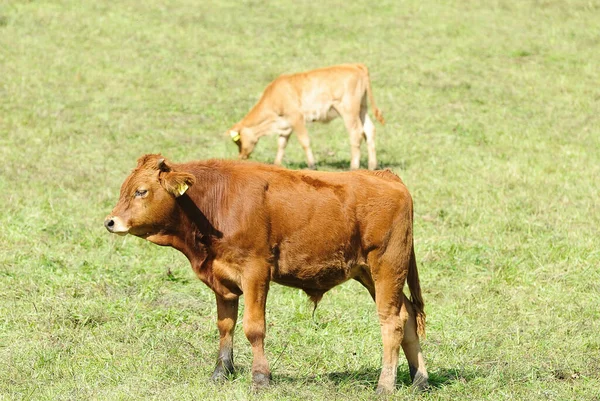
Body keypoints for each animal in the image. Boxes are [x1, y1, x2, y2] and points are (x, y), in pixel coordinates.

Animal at [105, 154, 428, 394]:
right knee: (408, 315)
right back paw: (419, 379)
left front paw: (260, 377)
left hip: (386, 267)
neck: (216, 202)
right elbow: (225, 325)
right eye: (125, 189)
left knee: (392, 322)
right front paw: (221, 372)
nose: (111, 221)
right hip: (371, 273)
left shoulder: (255, 272)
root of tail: (386, 177)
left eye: (141, 191)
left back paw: (385, 385)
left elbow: (253, 328)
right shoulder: (222, 280)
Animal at [227, 63, 386, 170]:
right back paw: (372, 166)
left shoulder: (296, 118)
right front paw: (276, 164)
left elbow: (304, 141)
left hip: (348, 110)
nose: (240, 157)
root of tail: (355, 66)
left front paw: (312, 165)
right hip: (362, 108)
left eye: (238, 141)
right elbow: (281, 144)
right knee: (369, 130)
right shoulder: (286, 123)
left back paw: (353, 166)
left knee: (356, 133)